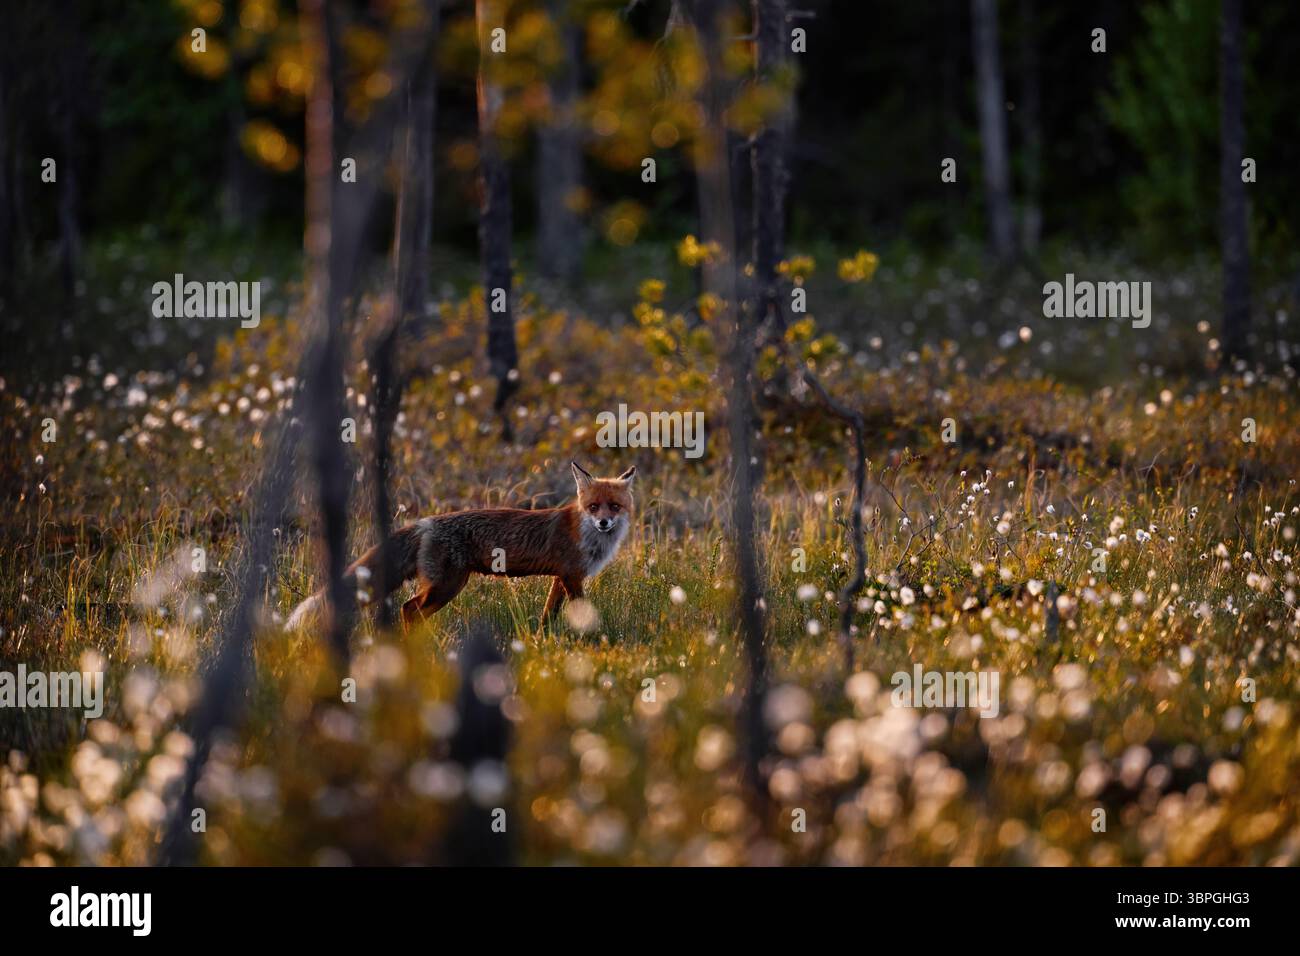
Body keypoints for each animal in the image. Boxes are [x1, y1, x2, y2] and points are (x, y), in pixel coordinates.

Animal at [285, 462, 636, 631]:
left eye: (614, 507)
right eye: (593, 507)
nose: (604, 523)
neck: (587, 535)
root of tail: (425, 522)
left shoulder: (561, 577)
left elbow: (548, 616)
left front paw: (541, 641)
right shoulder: (571, 575)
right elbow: (585, 612)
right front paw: (596, 640)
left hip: (445, 586)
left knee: (409, 610)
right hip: (448, 585)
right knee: (408, 609)